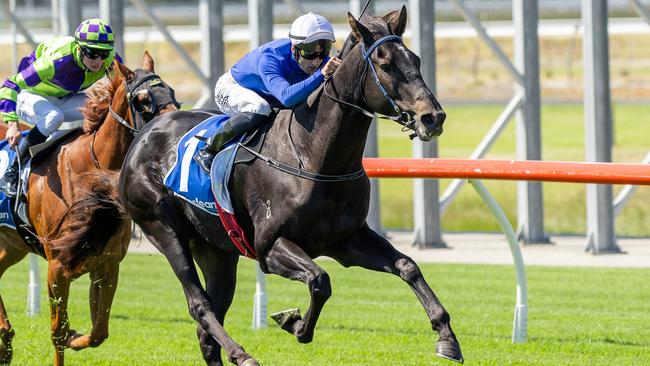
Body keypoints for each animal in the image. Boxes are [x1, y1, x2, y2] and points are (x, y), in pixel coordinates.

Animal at [0, 52, 178, 366]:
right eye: (142, 99)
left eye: (171, 92)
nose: (171, 131)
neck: (92, 175)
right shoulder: (58, 266)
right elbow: (58, 332)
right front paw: (67, 335)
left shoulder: (107, 263)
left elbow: (98, 332)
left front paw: (76, 336)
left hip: (12, 244)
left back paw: (5, 338)